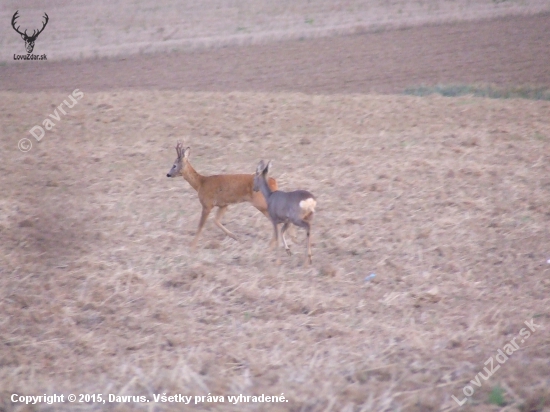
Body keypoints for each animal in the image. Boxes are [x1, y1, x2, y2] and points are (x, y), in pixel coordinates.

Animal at [167, 142, 296, 248]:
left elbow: (200, 226)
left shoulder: (207, 204)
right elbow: (216, 220)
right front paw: (234, 236)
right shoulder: (223, 204)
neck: (201, 183)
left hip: (261, 203)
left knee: (278, 221)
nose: (168, 174)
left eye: (174, 165)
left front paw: (192, 246)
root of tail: (273, 181)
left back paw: (274, 244)